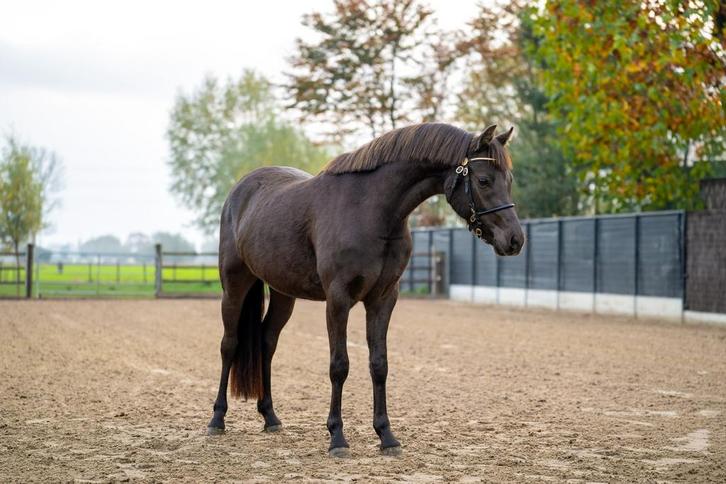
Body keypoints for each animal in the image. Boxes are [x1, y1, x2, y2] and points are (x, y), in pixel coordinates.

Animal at [206, 122, 524, 457]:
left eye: (509, 180)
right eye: (484, 180)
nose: (515, 240)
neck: (370, 210)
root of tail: (241, 190)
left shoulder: (382, 299)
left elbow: (379, 364)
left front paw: (386, 436)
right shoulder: (338, 300)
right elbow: (339, 365)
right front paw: (337, 437)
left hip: (283, 293)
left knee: (267, 343)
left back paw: (270, 416)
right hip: (234, 285)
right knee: (229, 344)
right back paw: (217, 419)